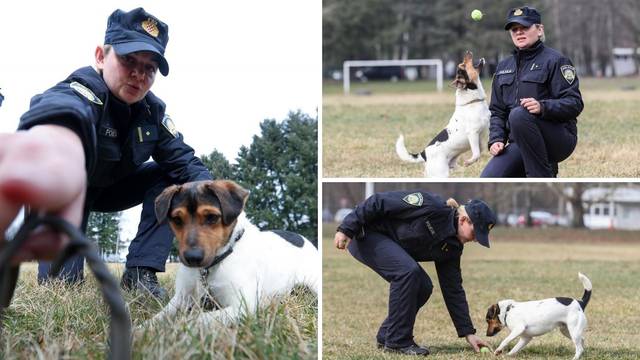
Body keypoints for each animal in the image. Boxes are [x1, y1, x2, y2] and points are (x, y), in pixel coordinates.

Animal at [150, 179, 320, 326]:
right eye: (177, 219)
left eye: (211, 217)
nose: (192, 258)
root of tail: (302, 237)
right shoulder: (181, 297)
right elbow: (159, 317)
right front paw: (146, 328)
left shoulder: (243, 306)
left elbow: (200, 318)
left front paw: (180, 326)